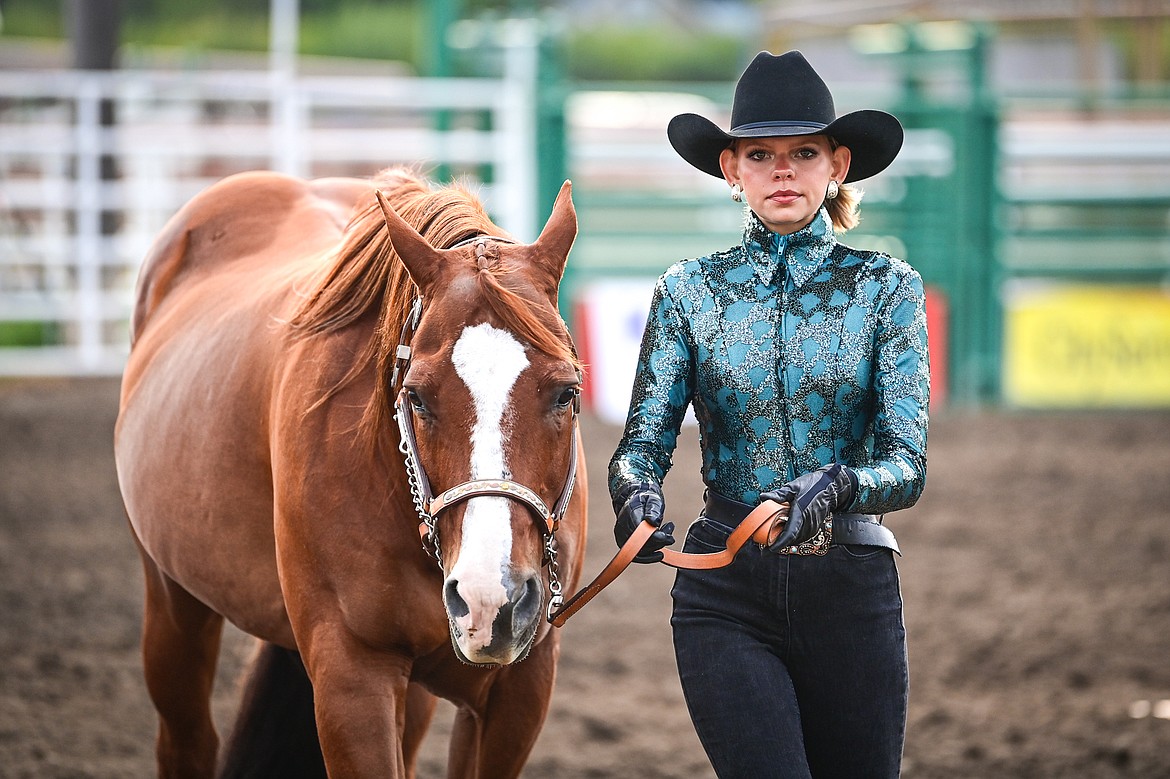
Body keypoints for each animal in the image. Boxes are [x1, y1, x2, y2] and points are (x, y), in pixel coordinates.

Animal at [115, 167, 589, 771]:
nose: (492, 598)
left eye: (566, 392)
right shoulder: (352, 673)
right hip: (173, 603)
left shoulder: (520, 687)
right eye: (417, 397)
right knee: (187, 740)